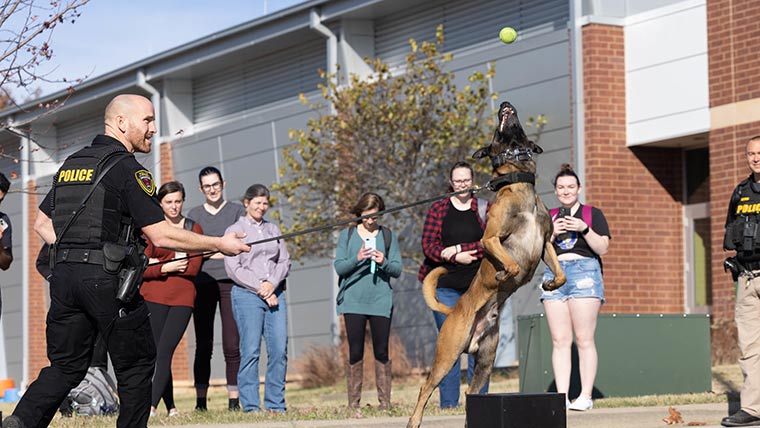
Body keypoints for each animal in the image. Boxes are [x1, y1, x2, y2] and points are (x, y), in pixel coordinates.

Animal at [410, 102, 564, 426]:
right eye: (497, 132)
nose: (505, 104)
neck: (519, 184)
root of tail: (454, 309)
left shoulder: (545, 242)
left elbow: (562, 275)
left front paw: (549, 283)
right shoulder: (490, 239)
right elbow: (513, 265)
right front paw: (505, 273)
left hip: (485, 363)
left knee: (472, 394)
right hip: (448, 355)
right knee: (425, 387)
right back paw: (414, 420)